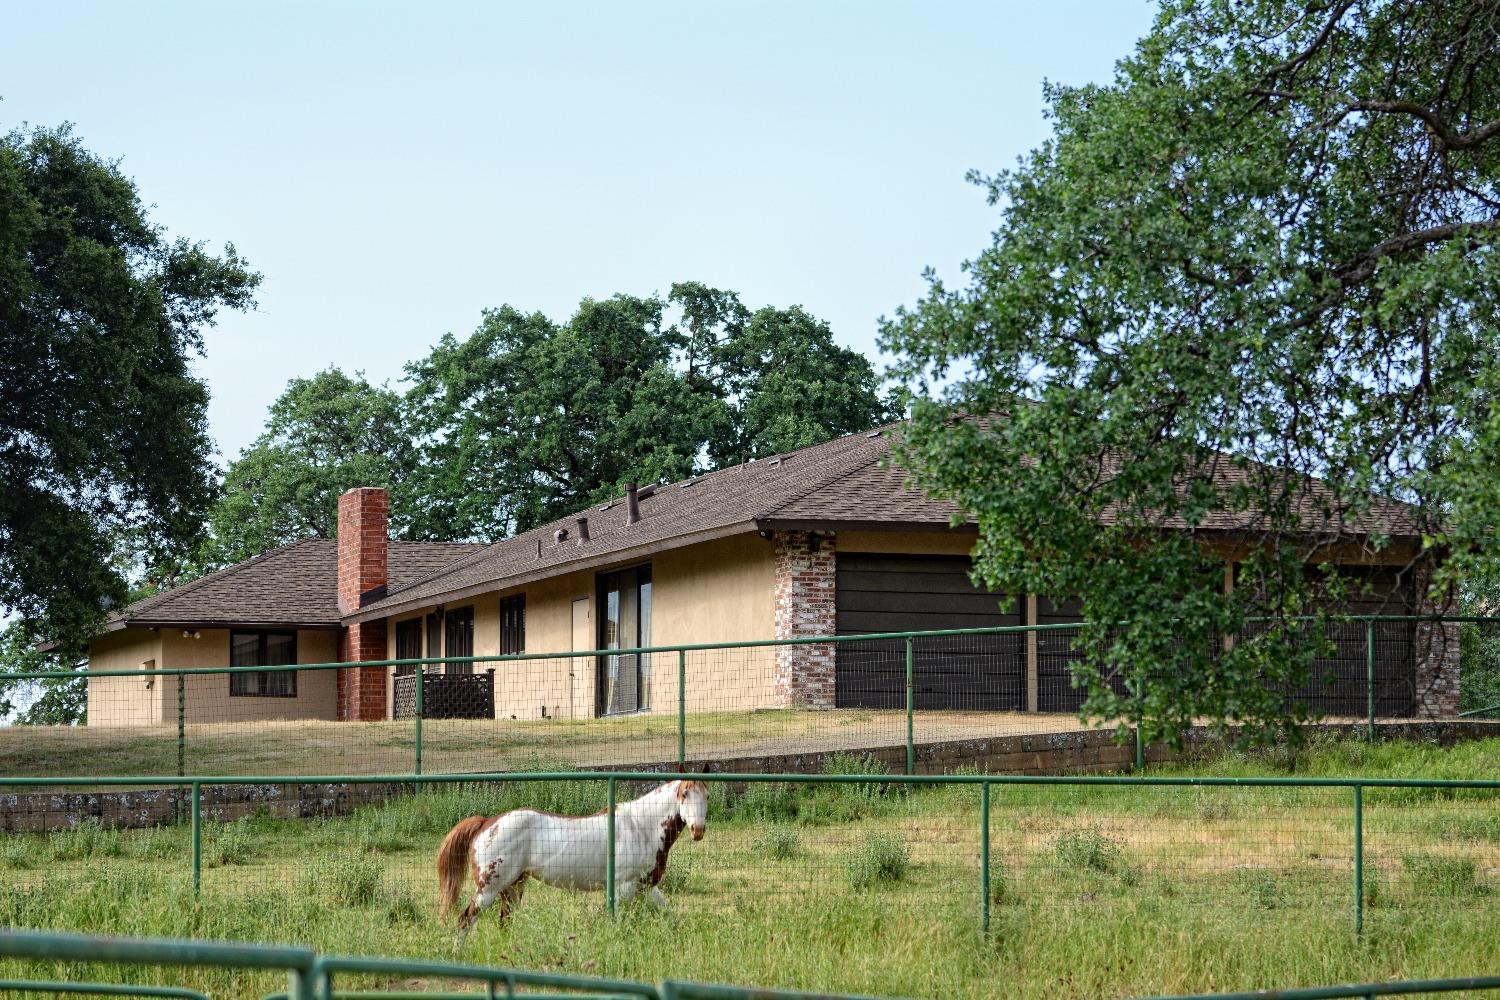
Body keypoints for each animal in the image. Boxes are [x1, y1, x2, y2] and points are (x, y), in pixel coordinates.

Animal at [438, 779, 711, 941]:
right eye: (684, 794)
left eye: (707, 796)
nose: (698, 830)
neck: (641, 827)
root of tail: (487, 822)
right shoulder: (624, 887)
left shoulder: (647, 887)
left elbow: (670, 916)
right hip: (489, 889)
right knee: (464, 919)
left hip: (513, 887)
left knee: (504, 923)